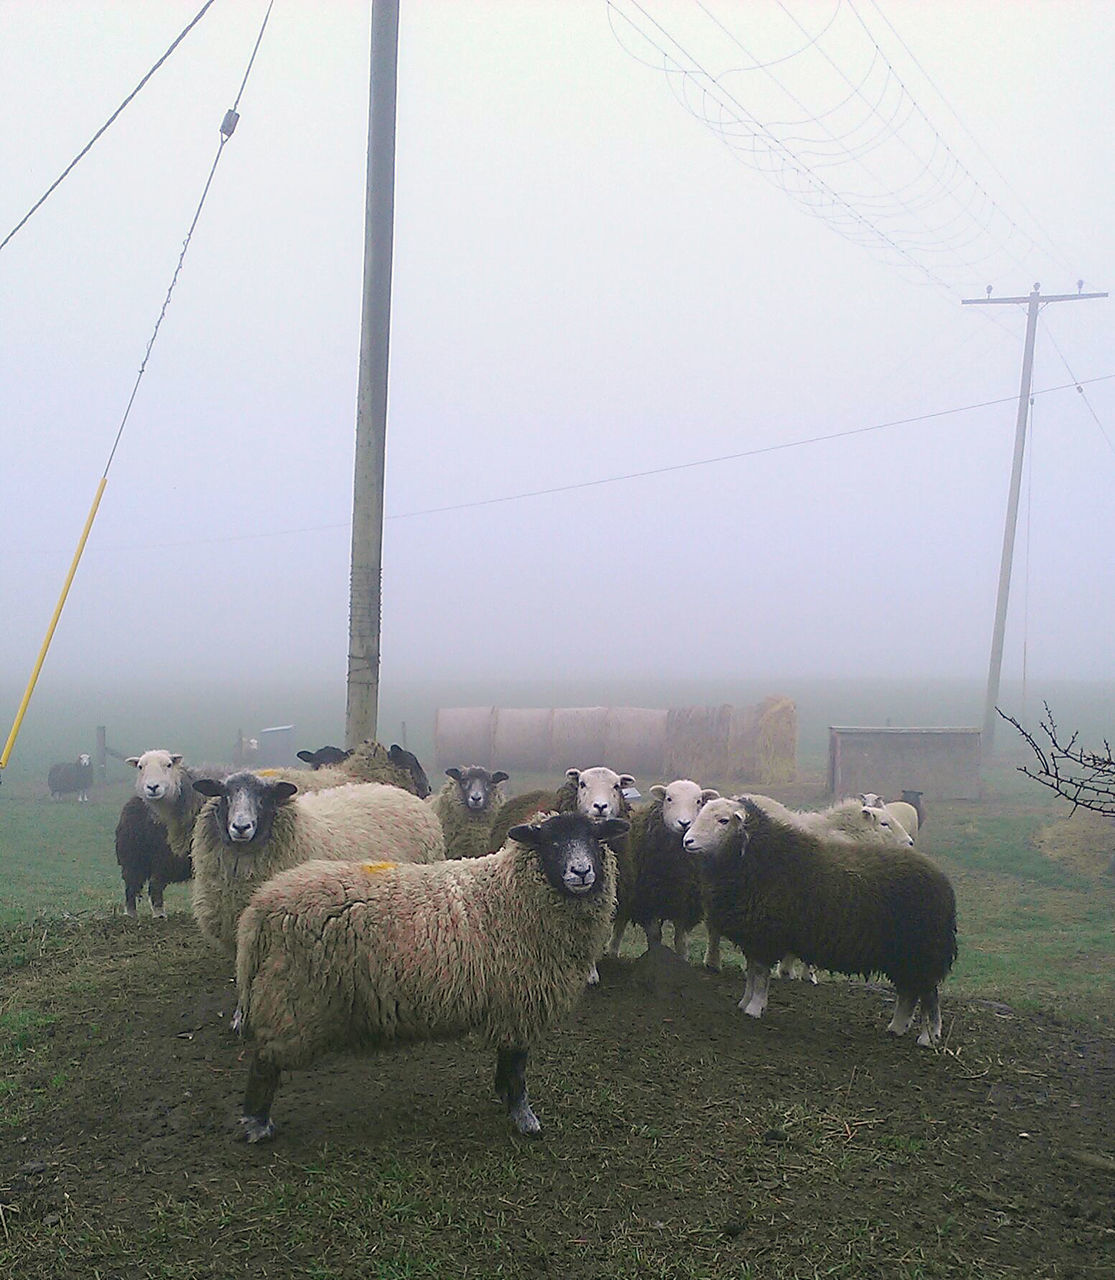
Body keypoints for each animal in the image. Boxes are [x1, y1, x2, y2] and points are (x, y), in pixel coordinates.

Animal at [232, 808, 627, 1141]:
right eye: (551, 842)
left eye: (595, 838)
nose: (581, 872)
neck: (508, 894)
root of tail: (261, 907)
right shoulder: (519, 1002)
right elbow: (517, 1067)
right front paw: (524, 1117)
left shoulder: (511, 1005)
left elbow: (507, 1060)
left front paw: (503, 1095)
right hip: (293, 998)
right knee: (265, 1061)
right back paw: (256, 1123)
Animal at [681, 793, 957, 1044]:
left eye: (723, 820)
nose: (687, 841)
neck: (757, 857)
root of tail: (942, 882)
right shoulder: (755, 935)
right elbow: (752, 975)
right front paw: (745, 1003)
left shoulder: (765, 935)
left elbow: (760, 978)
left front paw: (754, 1009)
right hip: (904, 956)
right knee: (909, 994)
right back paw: (897, 1027)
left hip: (922, 953)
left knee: (929, 996)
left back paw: (929, 1036)